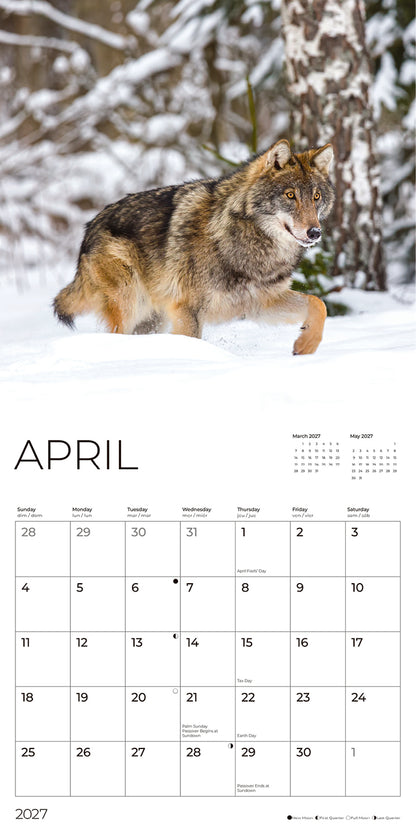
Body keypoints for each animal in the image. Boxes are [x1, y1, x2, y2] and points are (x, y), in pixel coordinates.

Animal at [53, 139, 334, 354]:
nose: (314, 232)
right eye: (290, 195)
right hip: (129, 304)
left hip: (152, 318)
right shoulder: (188, 310)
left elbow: (318, 303)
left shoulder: (261, 303)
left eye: (316, 197)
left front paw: (307, 345)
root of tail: (90, 227)